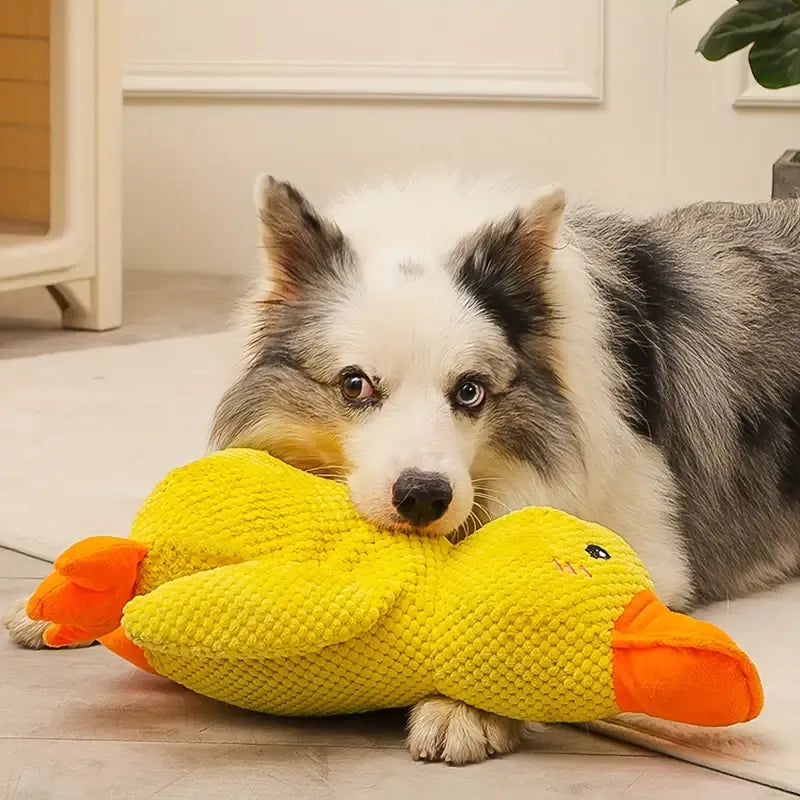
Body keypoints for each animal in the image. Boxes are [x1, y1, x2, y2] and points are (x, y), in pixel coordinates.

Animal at [9, 173, 800, 764]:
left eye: (471, 391)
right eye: (356, 385)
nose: (423, 497)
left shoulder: (656, 552)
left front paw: (464, 710)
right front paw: (64, 596)